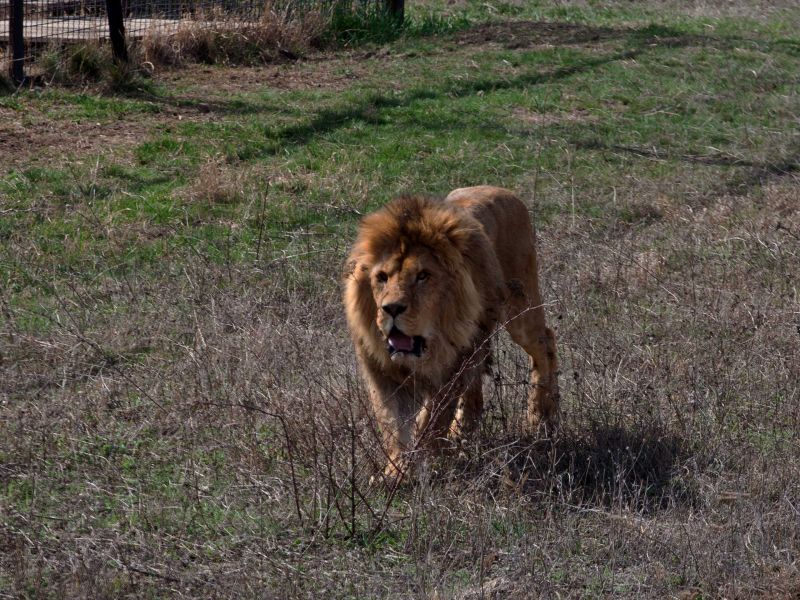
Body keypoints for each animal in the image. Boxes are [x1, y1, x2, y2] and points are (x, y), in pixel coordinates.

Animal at [342, 184, 556, 482]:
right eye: (381, 277)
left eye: (422, 276)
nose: (391, 308)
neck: (429, 346)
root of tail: (503, 190)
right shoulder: (382, 372)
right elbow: (393, 426)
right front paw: (394, 473)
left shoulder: (453, 366)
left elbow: (431, 419)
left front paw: (419, 464)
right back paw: (462, 432)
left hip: (520, 307)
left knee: (546, 341)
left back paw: (541, 417)